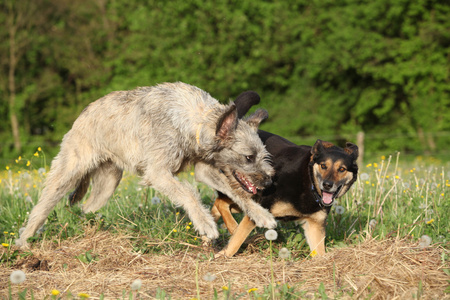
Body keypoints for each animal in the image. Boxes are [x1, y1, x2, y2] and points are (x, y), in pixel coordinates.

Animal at [207, 94, 358, 258]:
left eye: (342, 169)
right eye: (324, 166)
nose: (327, 185)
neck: (308, 181)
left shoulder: (314, 226)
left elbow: (320, 253)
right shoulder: (261, 209)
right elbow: (237, 240)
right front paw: (223, 255)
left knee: (217, 206)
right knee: (222, 204)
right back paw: (231, 229)